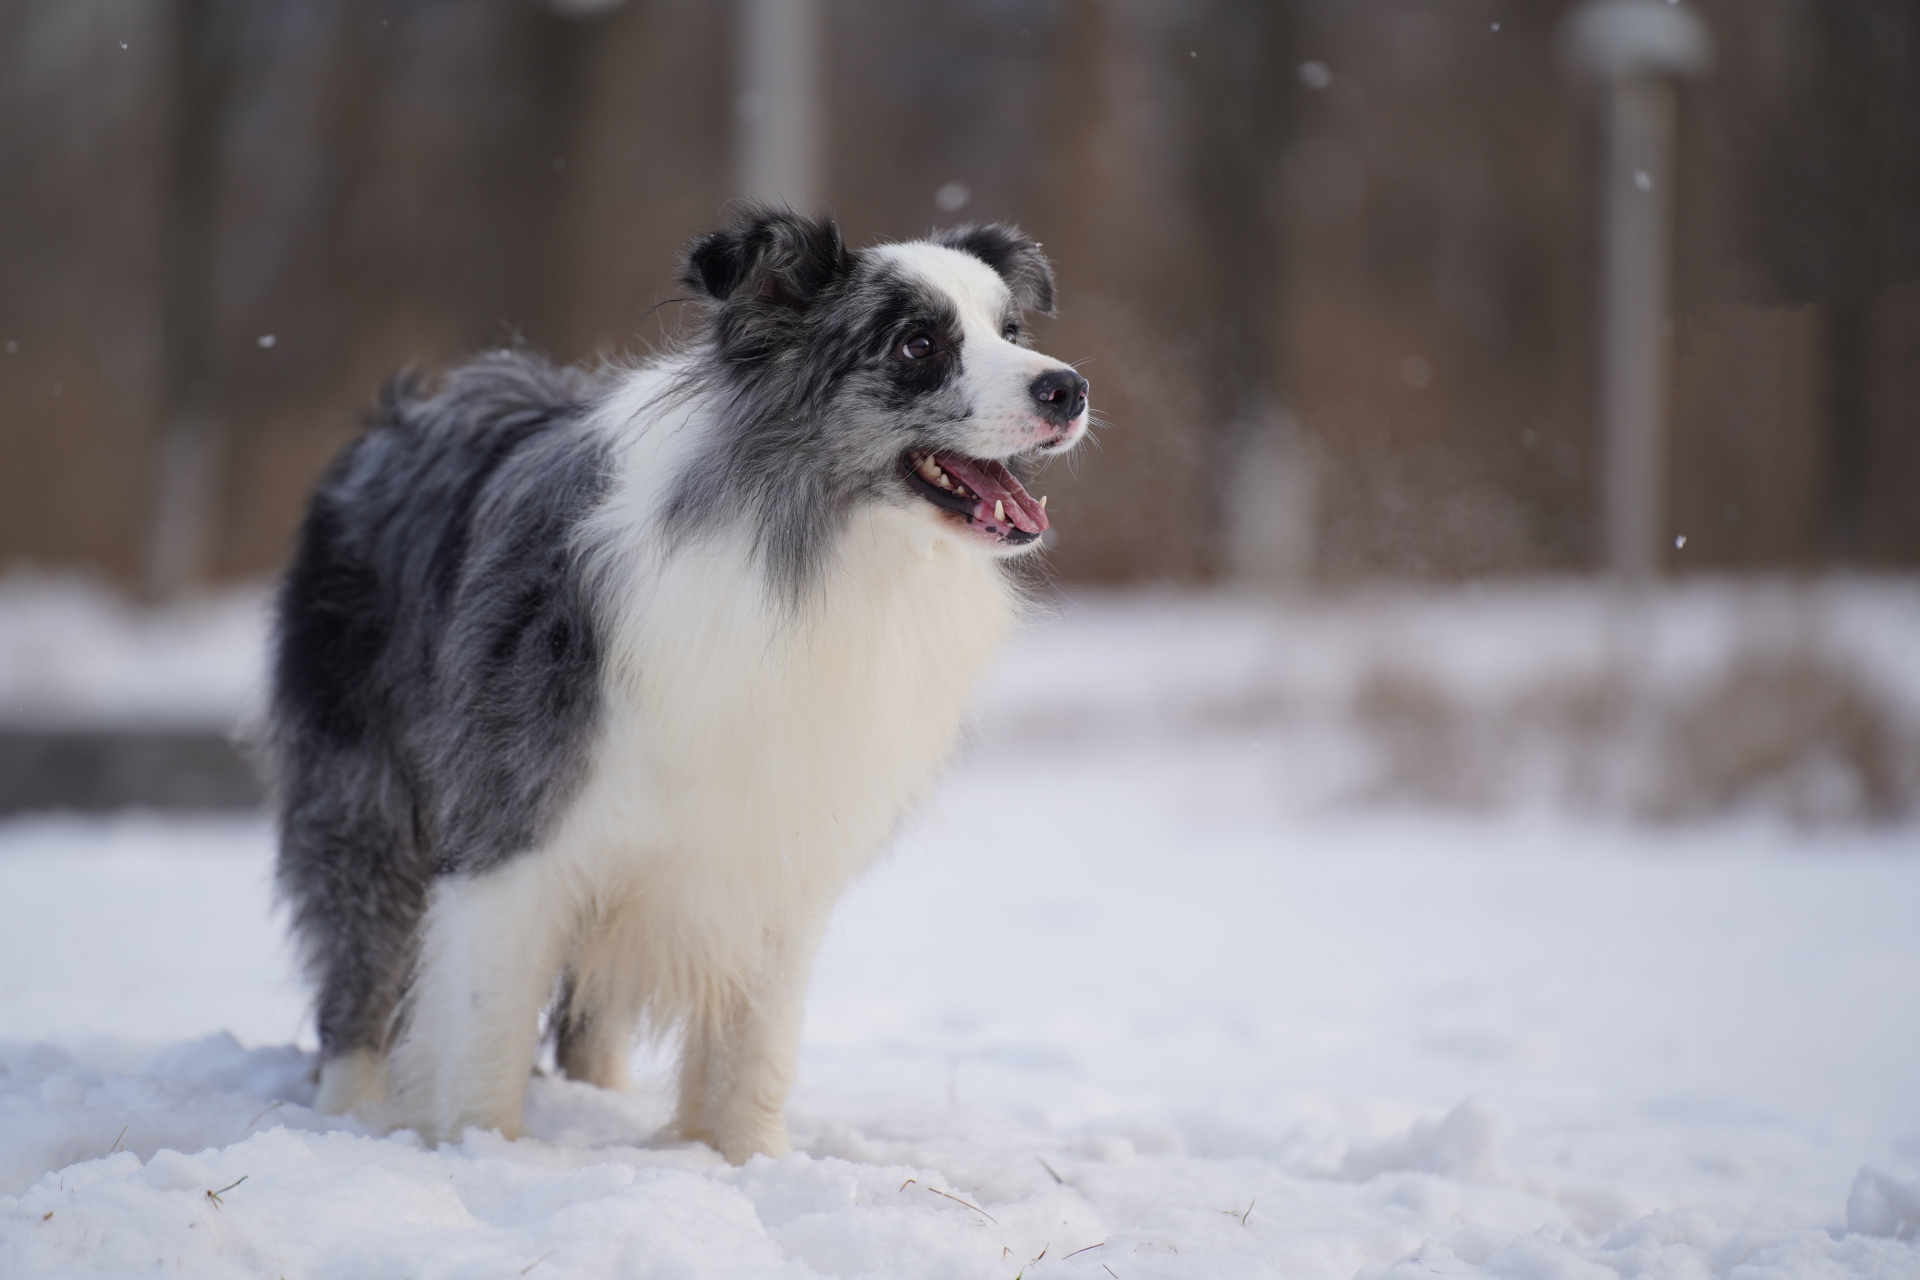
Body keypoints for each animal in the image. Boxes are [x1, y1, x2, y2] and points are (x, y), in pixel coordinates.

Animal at [263, 205, 1090, 1166]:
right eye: (918, 343)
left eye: (1011, 331)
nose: (1068, 388)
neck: (814, 547)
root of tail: (399, 415)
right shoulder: (515, 828)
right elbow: (482, 1033)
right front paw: (481, 1152)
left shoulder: (776, 844)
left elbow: (752, 1047)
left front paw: (745, 1163)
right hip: (364, 795)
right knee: (360, 964)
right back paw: (346, 1115)